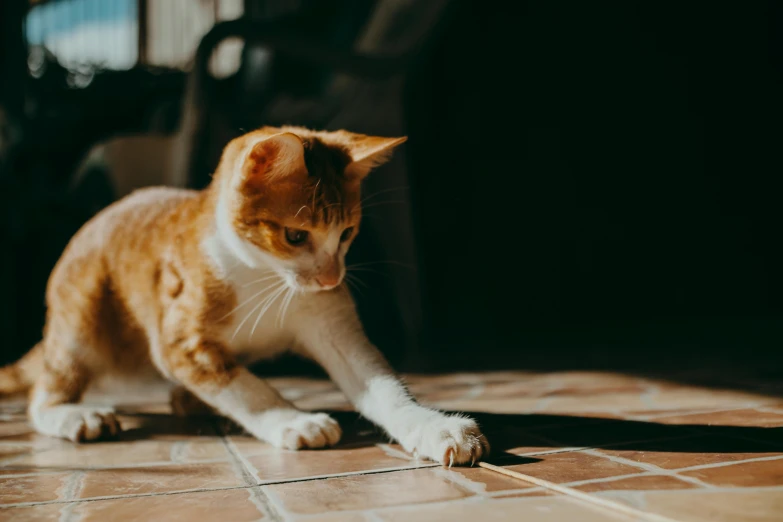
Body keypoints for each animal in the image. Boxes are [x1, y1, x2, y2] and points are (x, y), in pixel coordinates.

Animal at [0, 125, 486, 464]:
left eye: (347, 233)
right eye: (295, 235)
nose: (331, 278)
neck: (263, 277)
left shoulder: (332, 325)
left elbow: (380, 384)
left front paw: (435, 427)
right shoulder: (181, 340)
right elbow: (245, 388)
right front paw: (293, 419)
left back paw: (188, 400)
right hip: (84, 312)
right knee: (45, 390)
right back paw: (76, 414)